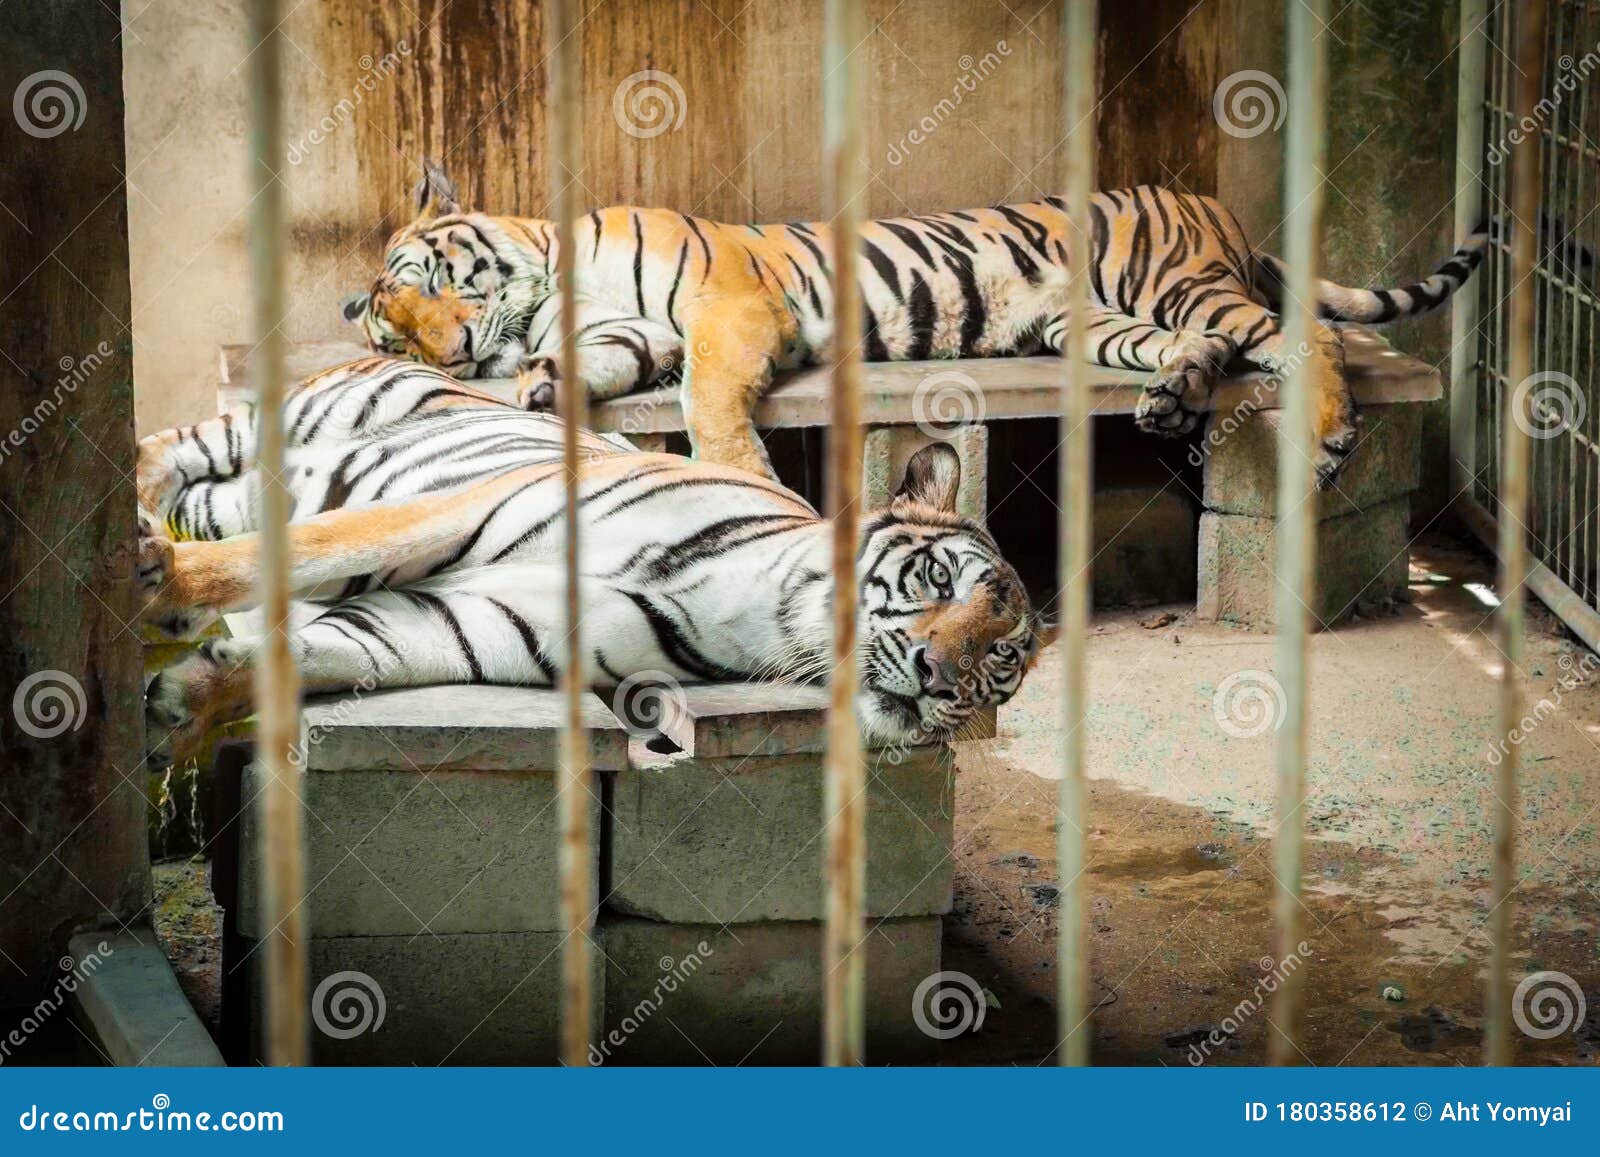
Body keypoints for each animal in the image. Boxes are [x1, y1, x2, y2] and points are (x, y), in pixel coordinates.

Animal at [136, 357, 1042, 768]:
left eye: (1000, 660)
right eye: (938, 580)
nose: (937, 678)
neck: (767, 613)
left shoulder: (472, 624)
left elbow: (325, 651)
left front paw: (189, 699)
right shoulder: (453, 510)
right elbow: (317, 549)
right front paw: (170, 584)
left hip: (246, 487)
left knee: (206, 494)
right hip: (295, 422)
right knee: (175, 444)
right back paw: (142, 529)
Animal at [344, 163, 1488, 488]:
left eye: (429, 277)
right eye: (392, 338)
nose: (451, 352)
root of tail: (1216, 203)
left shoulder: (727, 307)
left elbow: (709, 399)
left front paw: (741, 472)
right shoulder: (644, 332)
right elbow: (596, 359)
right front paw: (543, 384)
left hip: (1173, 281)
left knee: (1303, 335)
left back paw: (1330, 434)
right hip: (1095, 322)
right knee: (1195, 348)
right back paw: (1169, 404)